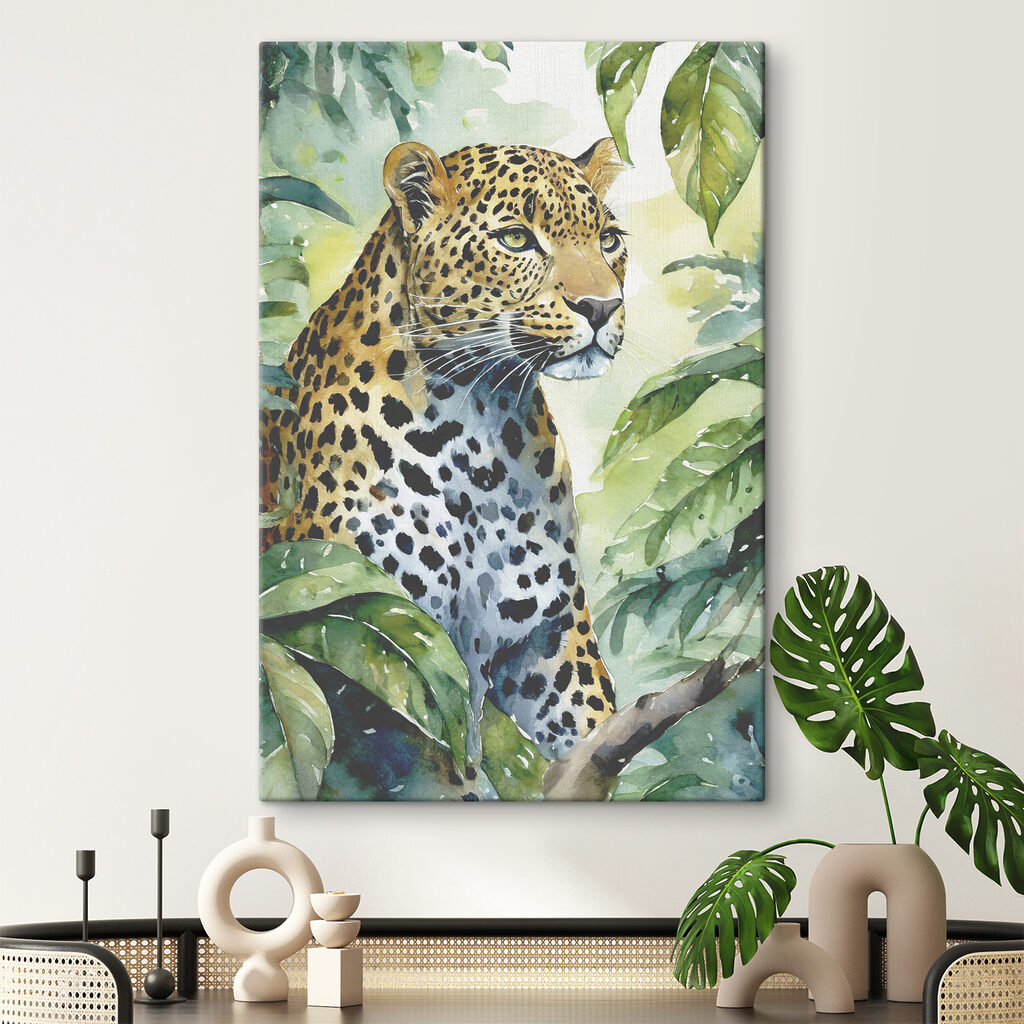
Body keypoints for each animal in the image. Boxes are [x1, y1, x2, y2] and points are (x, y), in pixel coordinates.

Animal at [261, 138, 628, 776]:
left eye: (609, 239)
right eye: (516, 239)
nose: (603, 307)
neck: (481, 426)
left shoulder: (549, 638)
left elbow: (589, 719)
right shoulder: (375, 622)